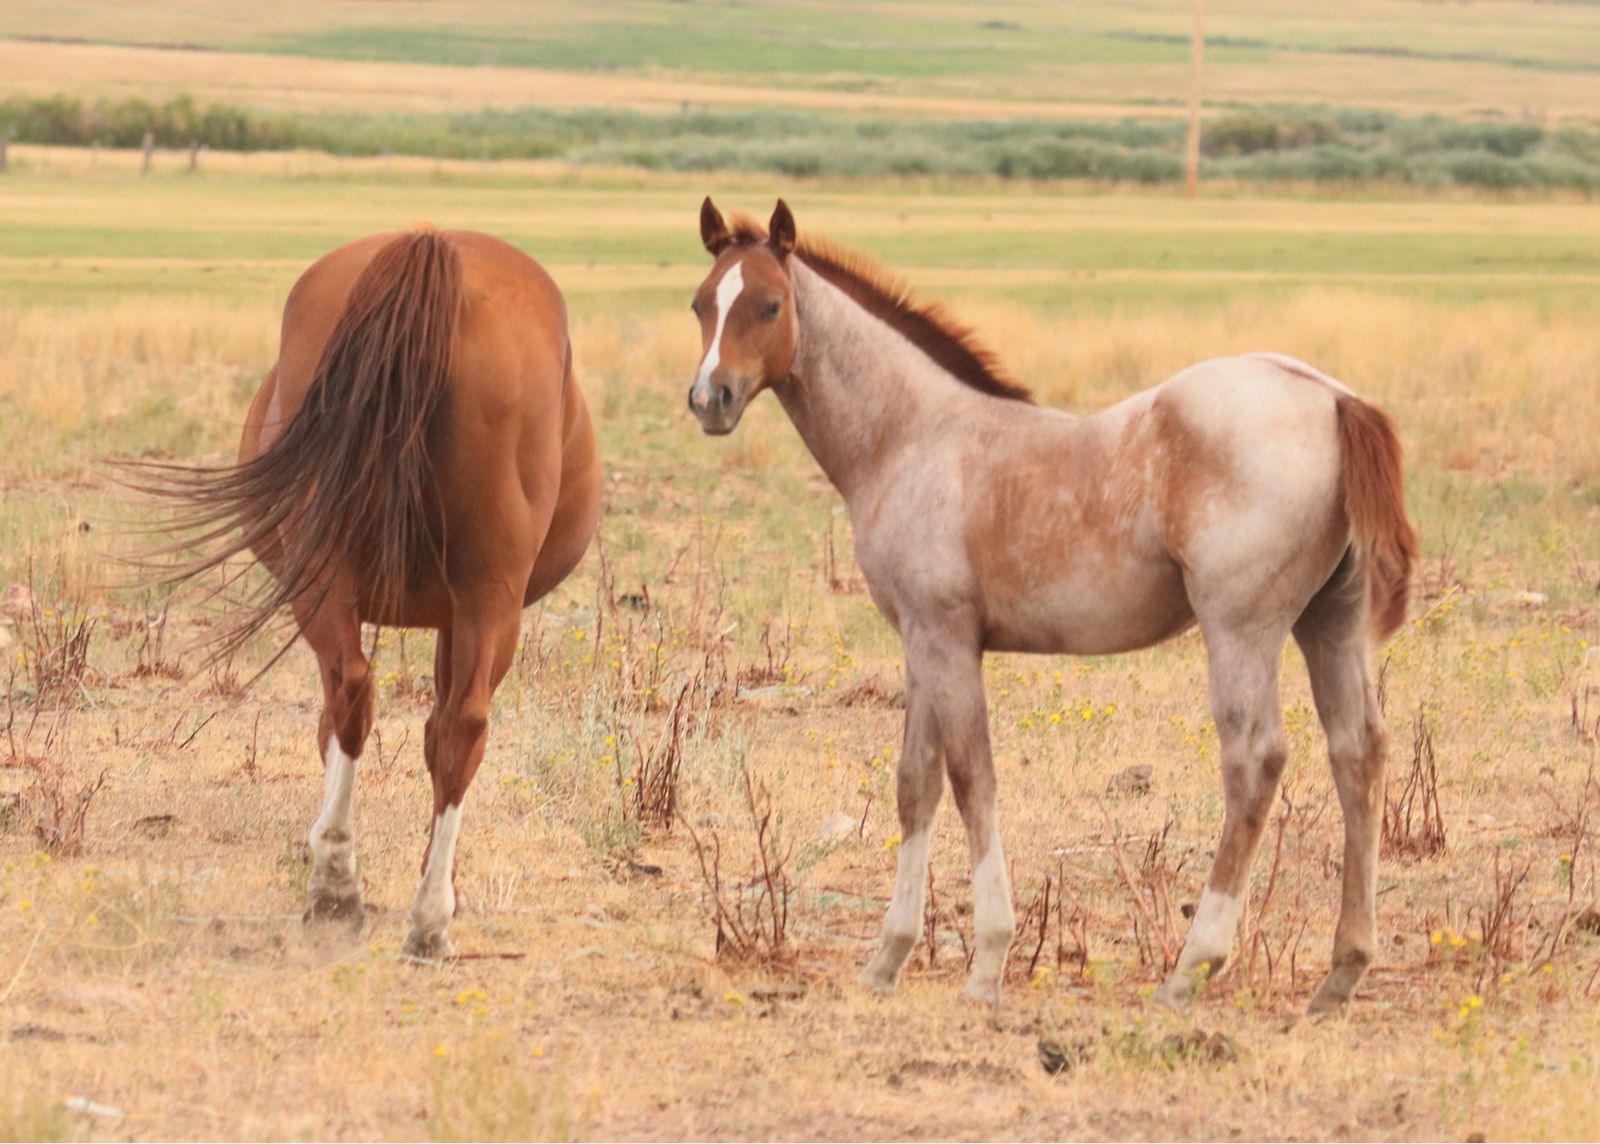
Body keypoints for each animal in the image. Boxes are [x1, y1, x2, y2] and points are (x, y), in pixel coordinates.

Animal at [137, 229, 600, 959]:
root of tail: (436, 250)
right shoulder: (458, 613)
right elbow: (429, 734)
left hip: (351, 579)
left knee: (363, 696)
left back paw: (353, 888)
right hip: (476, 594)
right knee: (438, 721)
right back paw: (408, 910)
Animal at [686, 198, 1417, 1015]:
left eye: (769, 305)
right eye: (701, 304)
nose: (710, 401)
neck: (911, 437)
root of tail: (1333, 396)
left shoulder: (947, 638)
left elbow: (972, 779)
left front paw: (987, 964)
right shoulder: (920, 642)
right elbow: (916, 784)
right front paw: (887, 959)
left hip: (1241, 629)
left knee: (1255, 761)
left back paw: (1189, 970)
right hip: (1330, 623)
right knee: (1359, 752)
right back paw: (1341, 973)